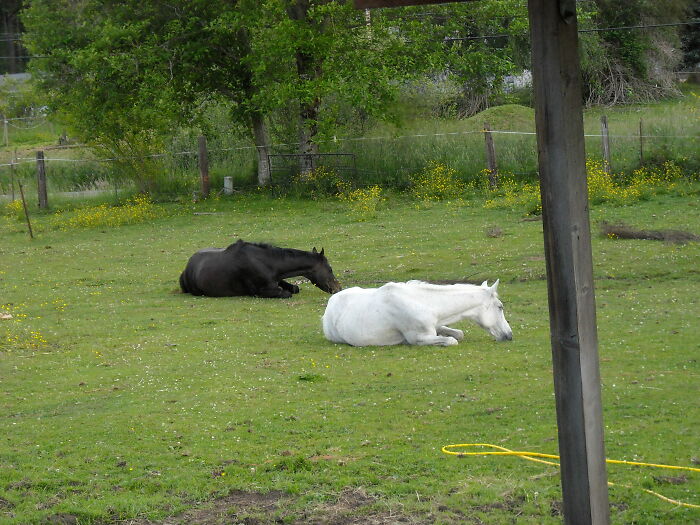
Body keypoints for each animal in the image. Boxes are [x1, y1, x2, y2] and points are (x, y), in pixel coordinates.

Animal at [179, 239, 342, 298]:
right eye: (330, 269)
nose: (338, 288)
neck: (267, 262)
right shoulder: (261, 291)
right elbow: (287, 293)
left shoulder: (278, 280)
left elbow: (294, 288)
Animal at [322, 280, 512, 347]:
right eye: (500, 307)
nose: (509, 335)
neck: (423, 303)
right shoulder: (417, 338)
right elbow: (452, 341)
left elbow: (459, 333)